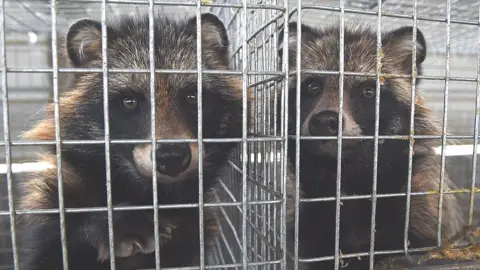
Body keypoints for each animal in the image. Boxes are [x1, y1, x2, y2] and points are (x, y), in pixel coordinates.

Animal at [16, 11, 248, 270]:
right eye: (130, 102)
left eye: (192, 97)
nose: (172, 157)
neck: (149, 195)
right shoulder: (54, 200)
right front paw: (99, 225)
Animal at [278, 23, 464, 270]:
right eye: (312, 86)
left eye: (368, 91)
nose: (325, 122)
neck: (347, 172)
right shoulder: (303, 211)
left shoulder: (421, 195)